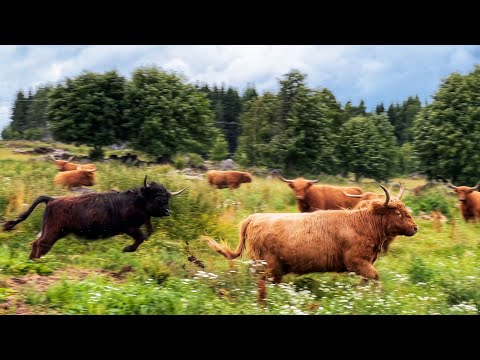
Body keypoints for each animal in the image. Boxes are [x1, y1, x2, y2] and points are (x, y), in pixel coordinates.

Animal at [2, 175, 187, 258]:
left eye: (167, 198)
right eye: (156, 197)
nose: (167, 211)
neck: (138, 201)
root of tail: (52, 199)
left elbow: (146, 234)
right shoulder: (129, 228)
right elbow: (141, 237)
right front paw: (127, 249)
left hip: (55, 231)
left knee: (38, 243)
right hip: (53, 230)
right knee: (41, 243)